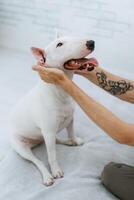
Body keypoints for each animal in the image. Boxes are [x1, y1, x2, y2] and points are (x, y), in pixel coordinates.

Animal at [11, 36, 95, 186]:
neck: (60, 90)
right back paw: (47, 176)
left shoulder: (70, 119)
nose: (91, 43)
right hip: (22, 146)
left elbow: (71, 132)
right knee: (38, 160)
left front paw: (74, 140)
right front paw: (56, 171)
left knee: (55, 140)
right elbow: (52, 155)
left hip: (46, 135)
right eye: (59, 44)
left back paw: (68, 142)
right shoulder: (48, 130)